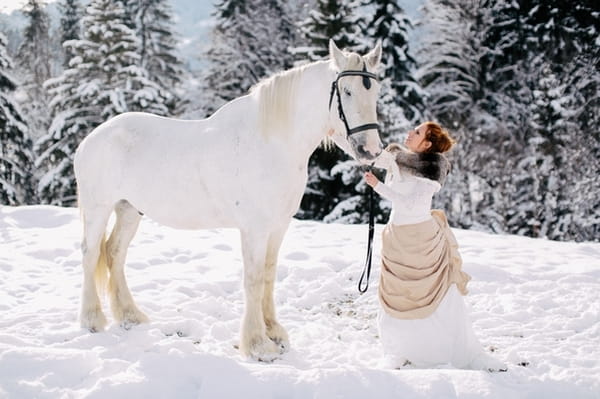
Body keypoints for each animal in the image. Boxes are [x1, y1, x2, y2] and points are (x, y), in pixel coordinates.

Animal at [75, 39, 382, 360]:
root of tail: (92, 138)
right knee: (90, 254)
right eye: (347, 91)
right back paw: (92, 319)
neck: (272, 142)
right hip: (99, 209)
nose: (371, 150)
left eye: (375, 91)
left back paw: (130, 316)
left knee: (114, 253)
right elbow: (254, 280)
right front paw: (258, 344)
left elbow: (269, 275)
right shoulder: (254, 229)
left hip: (129, 210)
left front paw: (275, 333)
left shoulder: (278, 226)